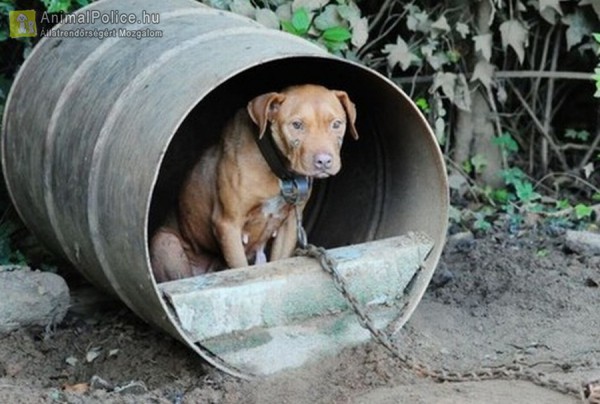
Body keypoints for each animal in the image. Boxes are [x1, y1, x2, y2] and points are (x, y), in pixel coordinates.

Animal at [151, 84, 356, 282]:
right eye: (297, 125)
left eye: (337, 124)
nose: (324, 161)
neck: (281, 174)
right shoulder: (228, 225)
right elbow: (241, 269)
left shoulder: (289, 225)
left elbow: (279, 261)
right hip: (165, 243)